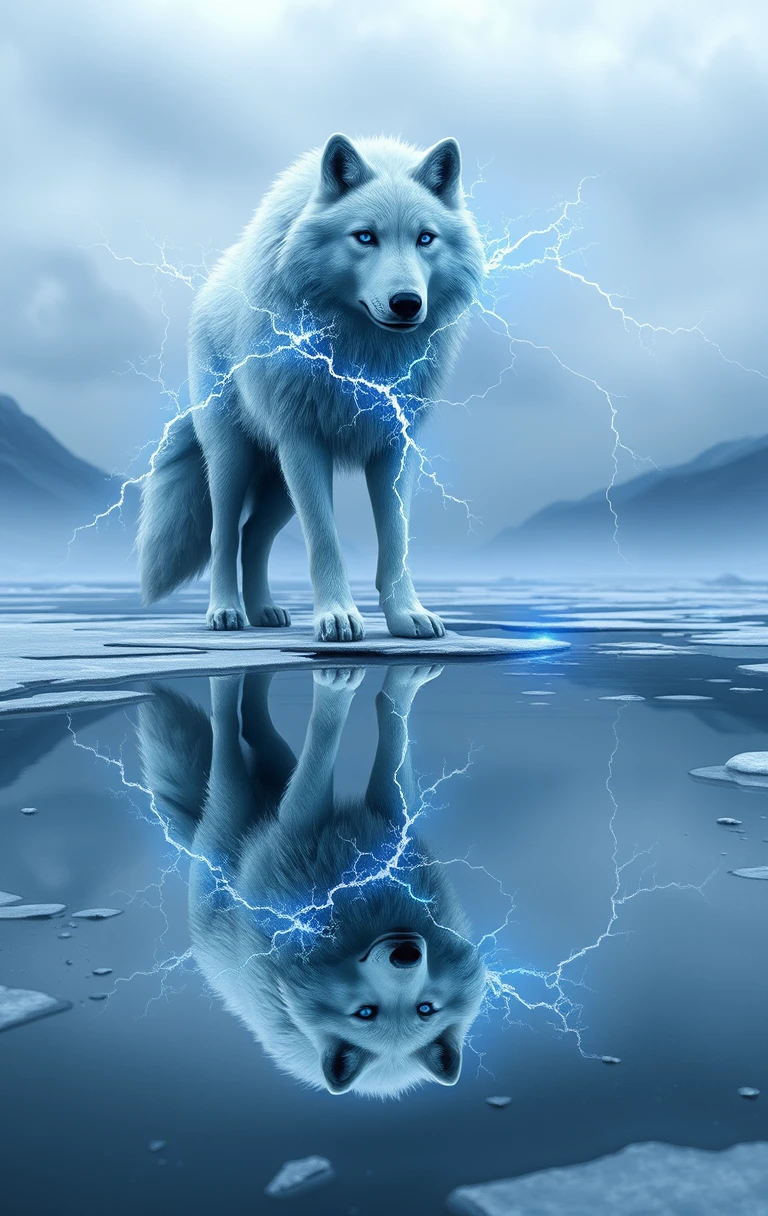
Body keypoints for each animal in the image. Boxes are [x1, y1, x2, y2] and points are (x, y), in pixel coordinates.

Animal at [137, 134, 486, 641]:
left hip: (279, 481)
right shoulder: (303, 440)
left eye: (425, 238)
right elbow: (324, 538)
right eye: (365, 236)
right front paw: (337, 616)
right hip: (235, 458)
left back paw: (264, 612)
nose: (406, 303)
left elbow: (396, 540)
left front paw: (407, 615)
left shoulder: (395, 446)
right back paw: (226, 612)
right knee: (224, 534)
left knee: (252, 536)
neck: (362, 355)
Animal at [137, 665, 487, 1096]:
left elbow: (351, 734)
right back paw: (250, 670)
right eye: (366, 1012)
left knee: (235, 731)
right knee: (246, 728)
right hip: (250, 796)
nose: (406, 954)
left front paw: (364, 689)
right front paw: (381, 686)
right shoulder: (357, 819)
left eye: (425, 1008)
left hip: (237, 804)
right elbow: (366, 730)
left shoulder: (329, 821)